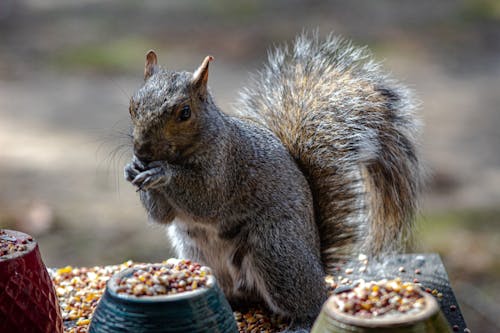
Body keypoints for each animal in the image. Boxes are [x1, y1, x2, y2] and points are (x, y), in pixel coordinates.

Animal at [124, 32, 422, 328]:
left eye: (185, 112)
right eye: (132, 106)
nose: (142, 151)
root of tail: (317, 268)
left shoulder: (226, 168)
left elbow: (205, 199)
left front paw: (161, 172)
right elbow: (161, 216)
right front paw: (132, 168)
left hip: (275, 251)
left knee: (308, 305)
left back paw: (299, 322)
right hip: (198, 253)